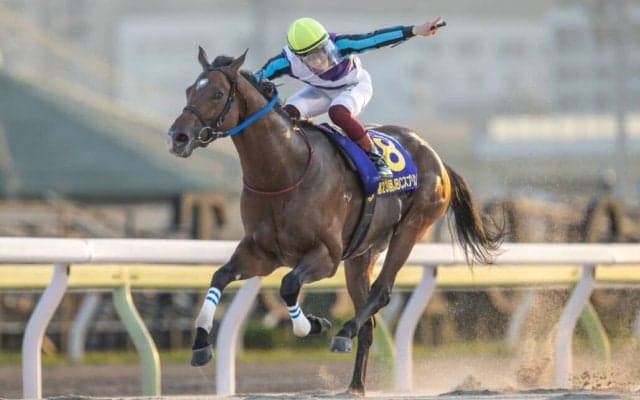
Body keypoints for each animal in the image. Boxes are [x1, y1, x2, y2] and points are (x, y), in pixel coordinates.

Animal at [167, 47, 502, 395]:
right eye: (189, 90)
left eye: (217, 94)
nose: (178, 136)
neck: (283, 170)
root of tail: (436, 157)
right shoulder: (261, 253)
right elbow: (219, 276)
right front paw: (200, 345)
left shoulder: (325, 255)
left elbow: (288, 285)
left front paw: (314, 324)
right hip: (362, 253)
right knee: (368, 318)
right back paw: (355, 385)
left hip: (412, 227)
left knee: (381, 291)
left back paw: (344, 333)